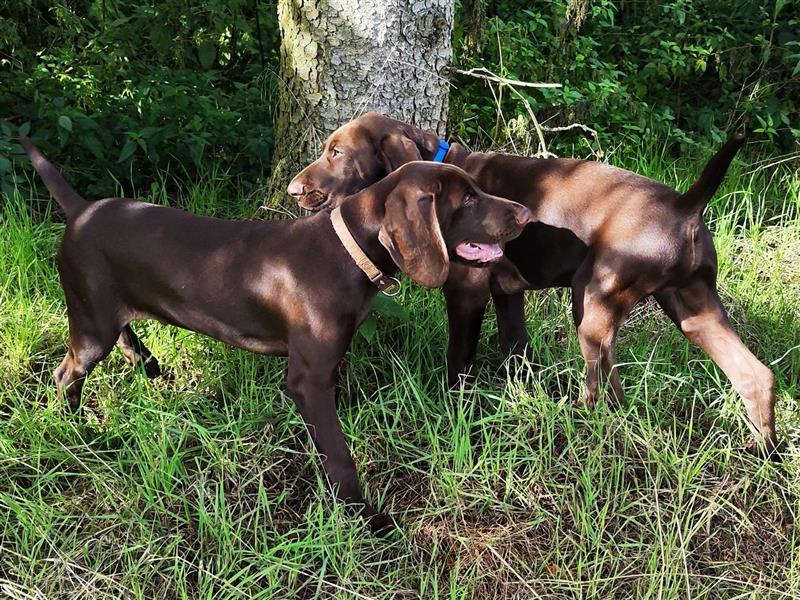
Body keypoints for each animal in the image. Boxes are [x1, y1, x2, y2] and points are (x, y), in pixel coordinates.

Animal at [20, 138, 532, 532]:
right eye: (467, 200)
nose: (526, 213)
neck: (347, 253)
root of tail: (82, 210)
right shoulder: (307, 377)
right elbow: (339, 456)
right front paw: (367, 518)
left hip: (105, 312)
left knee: (124, 340)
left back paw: (151, 370)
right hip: (90, 321)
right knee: (66, 374)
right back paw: (78, 431)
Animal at [290, 115, 780, 458]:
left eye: (337, 152)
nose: (294, 189)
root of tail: (685, 205)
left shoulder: (467, 291)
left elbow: (459, 360)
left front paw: (454, 409)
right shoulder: (508, 293)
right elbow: (516, 351)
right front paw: (517, 399)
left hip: (593, 300)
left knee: (602, 387)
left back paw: (579, 424)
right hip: (693, 306)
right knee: (755, 375)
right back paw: (763, 452)